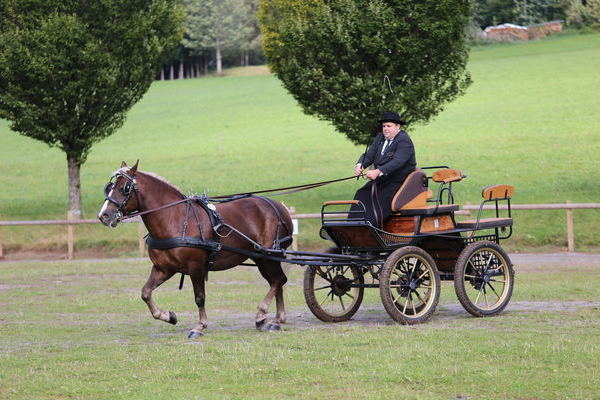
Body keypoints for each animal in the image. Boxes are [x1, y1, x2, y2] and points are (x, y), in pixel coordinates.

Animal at [98, 160, 292, 338]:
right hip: (262, 258)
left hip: (267, 256)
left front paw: (199, 327)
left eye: (125, 188)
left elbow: (199, 297)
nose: (104, 216)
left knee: (279, 280)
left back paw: (262, 314)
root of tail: (279, 206)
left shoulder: (196, 267)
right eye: (109, 187)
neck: (175, 219)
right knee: (277, 282)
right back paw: (277, 320)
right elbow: (145, 293)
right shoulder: (163, 268)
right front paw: (169, 316)